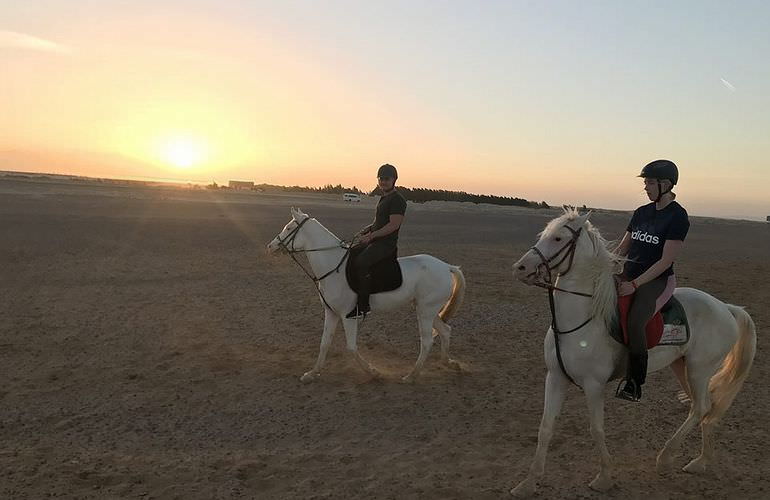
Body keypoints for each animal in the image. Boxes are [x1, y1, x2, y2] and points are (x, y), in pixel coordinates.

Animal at [268, 207, 464, 382]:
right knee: (445, 331)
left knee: (427, 341)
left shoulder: (348, 316)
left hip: (425, 311)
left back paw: (411, 376)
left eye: (289, 228)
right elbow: (324, 344)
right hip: (427, 309)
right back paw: (450, 363)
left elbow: (351, 348)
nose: (270, 246)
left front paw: (374, 372)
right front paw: (311, 374)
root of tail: (446, 266)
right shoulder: (331, 313)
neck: (334, 267)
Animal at [508, 208, 752, 496]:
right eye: (543, 235)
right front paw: (528, 483)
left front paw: (604, 477)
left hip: (700, 370)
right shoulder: (555, 377)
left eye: (558, 238)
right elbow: (545, 428)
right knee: (704, 406)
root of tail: (727, 308)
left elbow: (596, 429)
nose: (521, 268)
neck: (582, 318)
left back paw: (665, 459)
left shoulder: (593, 384)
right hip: (682, 366)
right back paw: (701, 461)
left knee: (701, 407)